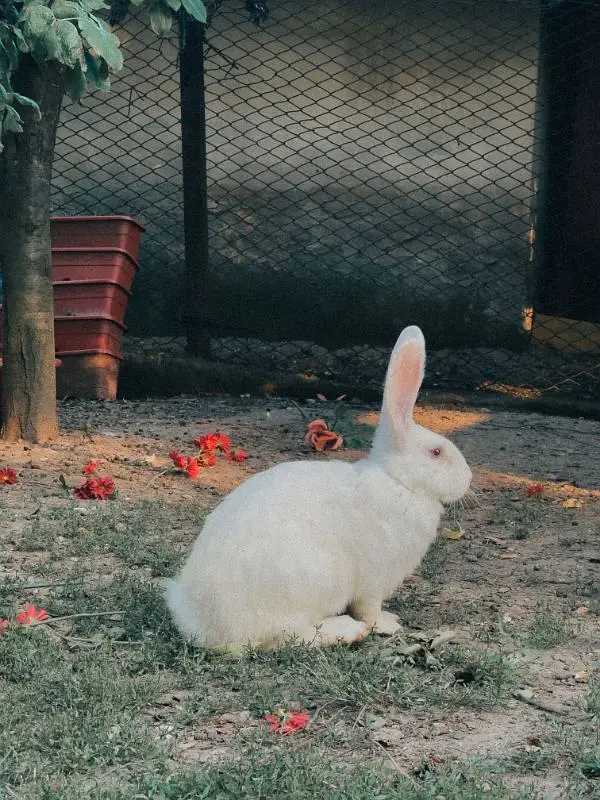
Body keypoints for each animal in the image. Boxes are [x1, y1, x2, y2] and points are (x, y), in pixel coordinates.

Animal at [166, 325, 472, 650]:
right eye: (436, 453)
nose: (468, 478)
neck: (396, 481)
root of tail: (203, 625)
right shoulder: (373, 581)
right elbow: (370, 610)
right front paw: (388, 625)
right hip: (311, 580)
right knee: (288, 636)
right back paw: (346, 630)